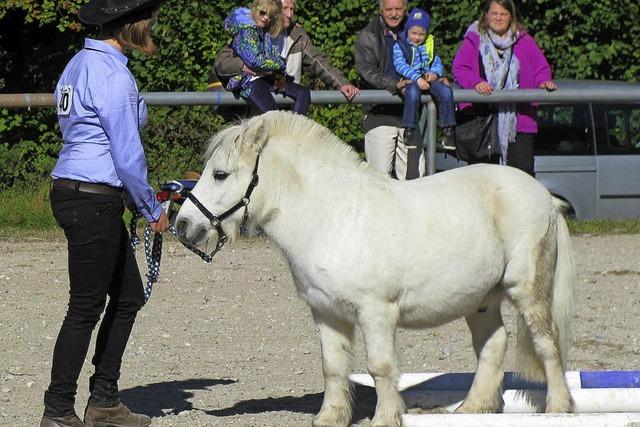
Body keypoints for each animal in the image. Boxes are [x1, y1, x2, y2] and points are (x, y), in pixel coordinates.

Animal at [174, 111, 576, 427]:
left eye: (221, 174)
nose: (182, 225)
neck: (331, 218)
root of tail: (544, 195)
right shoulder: (326, 312)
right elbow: (333, 366)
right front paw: (330, 417)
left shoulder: (376, 312)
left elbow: (380, 366)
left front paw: (385, 418)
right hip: (482, 300)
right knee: (493, 345)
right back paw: (471, 409)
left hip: (528, 291)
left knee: (546, 342)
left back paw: (558, 408)